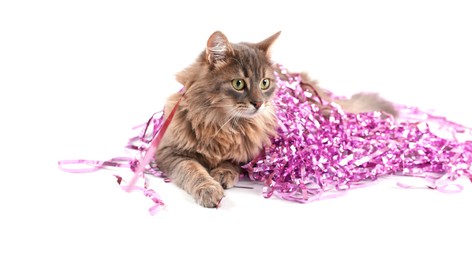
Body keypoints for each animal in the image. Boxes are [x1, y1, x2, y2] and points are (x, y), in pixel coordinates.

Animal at [154, 31, 394, 207]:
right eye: (238, 84)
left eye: (264, 83)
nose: (259, 103)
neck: (225, 124)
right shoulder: (170, 152)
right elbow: (193, 171)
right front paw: (209, 189)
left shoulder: (251, 153)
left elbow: (232, 163)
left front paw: (222, 173)